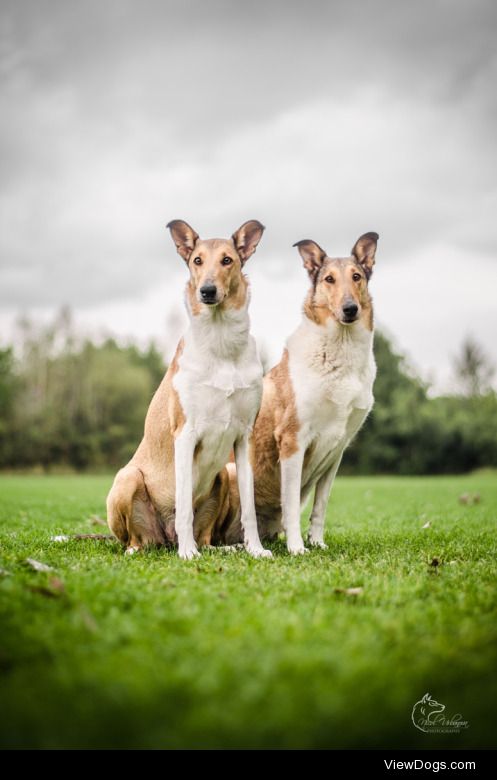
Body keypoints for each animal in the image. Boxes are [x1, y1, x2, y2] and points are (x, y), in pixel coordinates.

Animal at [106, 219, 272, 560]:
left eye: (227, 260)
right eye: (197, 260)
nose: (206, 291)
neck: (221, 342)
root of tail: (163, 538)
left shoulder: (244, 438)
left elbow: (249, 508)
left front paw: (256, 549)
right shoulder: (185, 434)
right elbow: (183, 504)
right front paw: (187, 553)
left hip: (223, 473)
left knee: (207, 536)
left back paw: (226, 547)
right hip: (127, 479)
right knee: (135, 539)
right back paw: (154, 548)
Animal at [219, 232, 378, 556]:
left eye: (356, 277)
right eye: (329, 279)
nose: (350, 309)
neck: (340, 351)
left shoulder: (337, 450)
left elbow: (321, 505)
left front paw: (316, 542)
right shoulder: (293, 440)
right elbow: (291, 503)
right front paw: (296, 547)